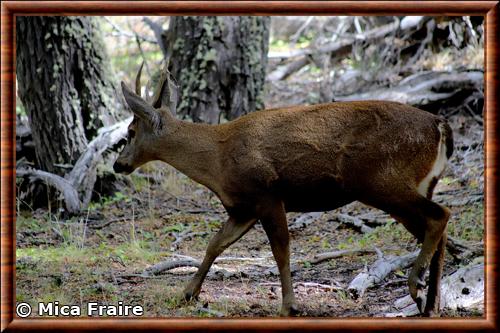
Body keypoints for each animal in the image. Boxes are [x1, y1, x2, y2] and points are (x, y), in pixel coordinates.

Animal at [113, 65, 454, 316]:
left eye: (130, 131)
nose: (118, 164)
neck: (217, 158)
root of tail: (440, 125)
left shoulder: (267, 195)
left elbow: (281, 251)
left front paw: (289, 305)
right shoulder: (243, 209)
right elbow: (215, 244)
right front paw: (188, 292)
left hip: (382, 181)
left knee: (441, 215)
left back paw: (416, 284)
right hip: (416, 185)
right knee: (437, 231)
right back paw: (431, 304)